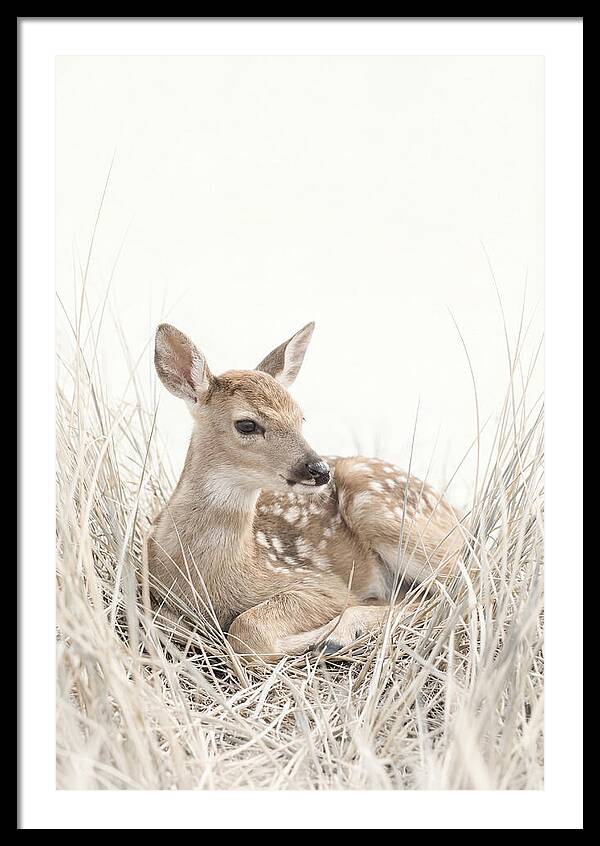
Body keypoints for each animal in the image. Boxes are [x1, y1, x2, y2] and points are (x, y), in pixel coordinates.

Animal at [145, 321, 464, 660]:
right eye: (247, 425)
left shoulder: (321, 583)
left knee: (457, 586)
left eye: (301, 418)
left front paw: (314, 638)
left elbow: (248, 630)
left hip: (382, 511)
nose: (319, 470)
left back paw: (338, 635)